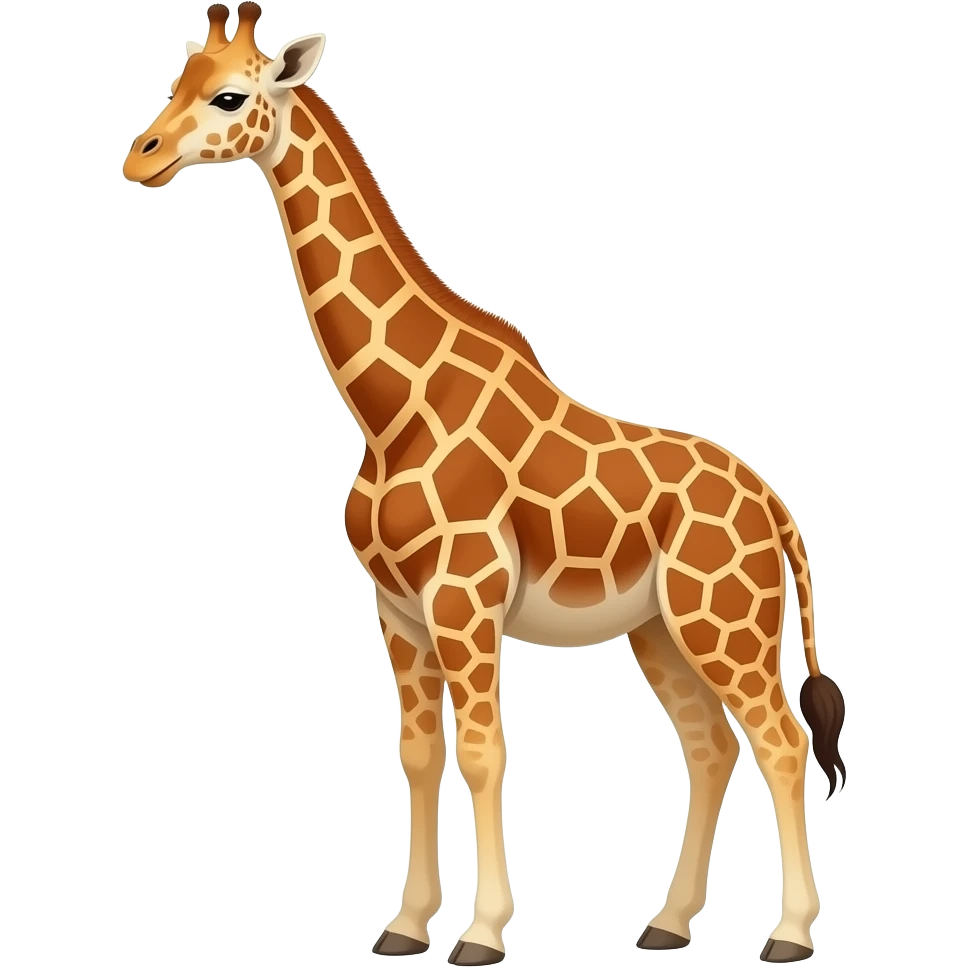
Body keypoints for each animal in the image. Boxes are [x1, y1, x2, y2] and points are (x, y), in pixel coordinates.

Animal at [121, 5, 848, 965]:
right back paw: (666, 923)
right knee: (708, 745)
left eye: (232, 95)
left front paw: (482, 933)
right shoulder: (397, 609)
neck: (390, 411)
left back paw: (790, 935)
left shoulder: (463, 598)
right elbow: (420, 753)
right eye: (178, 78)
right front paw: (404, 925)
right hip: (659, 629)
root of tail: (776, 506)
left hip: (724, 621)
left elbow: (483, 751)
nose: (141, 157)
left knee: (782, 739)